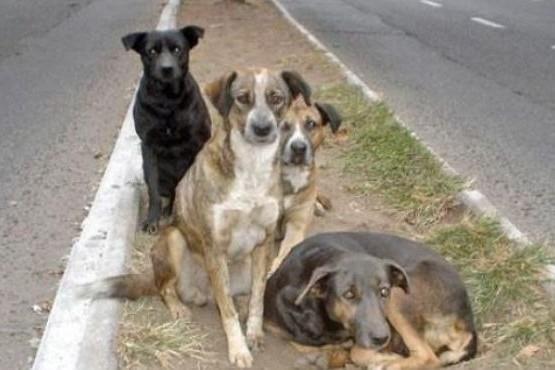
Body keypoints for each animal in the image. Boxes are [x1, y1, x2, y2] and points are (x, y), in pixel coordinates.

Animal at [87, 68, 312, 368]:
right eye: (242, 98)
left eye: (276, 98)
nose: (263, 129)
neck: (252, 166)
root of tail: (199, 290)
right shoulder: (214, 246)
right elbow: (227, 312)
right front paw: (238, 349)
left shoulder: (264, 243)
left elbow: (258, 298)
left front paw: (253, 332)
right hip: (173, 239)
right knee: (165, 288)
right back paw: (179, 307)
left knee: (238, 294)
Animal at [122, 26, 212, 233]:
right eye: (152, 51)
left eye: (177, 49)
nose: (166, 68)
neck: (167, 100)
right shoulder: (149, 146)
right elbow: (153, 190)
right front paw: (152, 219)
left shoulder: (197, 142)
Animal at [264, 233, 478, 368]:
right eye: (349, 295)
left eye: (384, 291)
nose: (382, 338)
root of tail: (468, 324)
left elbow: (356, 352)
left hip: (399, 298)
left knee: (428, 357)